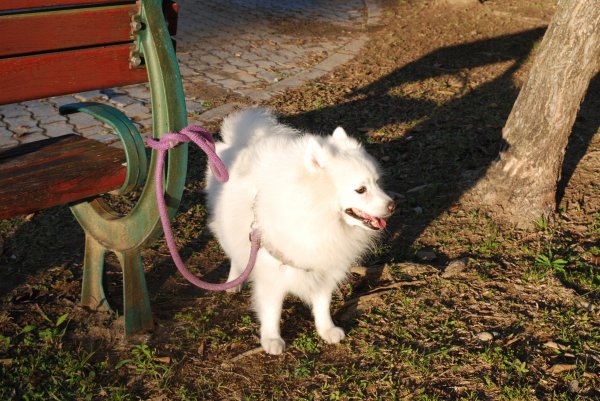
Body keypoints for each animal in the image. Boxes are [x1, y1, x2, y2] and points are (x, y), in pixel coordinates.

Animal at [206, 108, 394, 354]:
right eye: (361, 190)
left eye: (378, 183)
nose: (393, 206)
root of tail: (239, 142)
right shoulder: (272, 274)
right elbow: (272, 310)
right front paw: (271, 339)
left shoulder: (325, 267)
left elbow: (322, 302)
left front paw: (326, 329)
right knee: (235, 256)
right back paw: (234, 281)